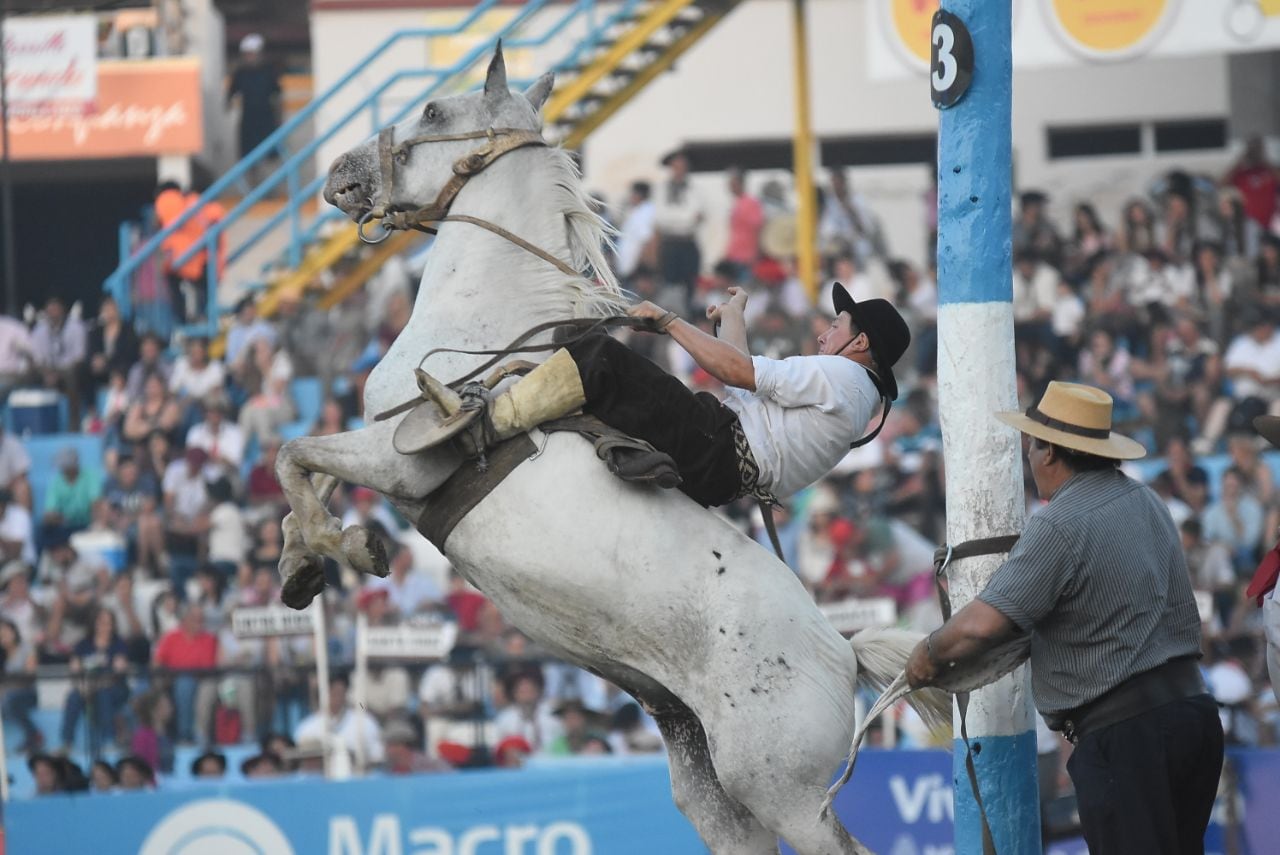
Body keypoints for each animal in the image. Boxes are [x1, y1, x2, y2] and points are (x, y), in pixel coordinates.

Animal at [272, 48, 952, 855]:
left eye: (436, 111)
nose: (340, 171)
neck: (485, 323)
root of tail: (844, 651)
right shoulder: (376, 440)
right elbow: (303, 474)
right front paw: (301, 562)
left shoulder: (402, 456)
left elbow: (293, 453)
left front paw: (343, 546)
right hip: (706, 774)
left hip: (786, 792)